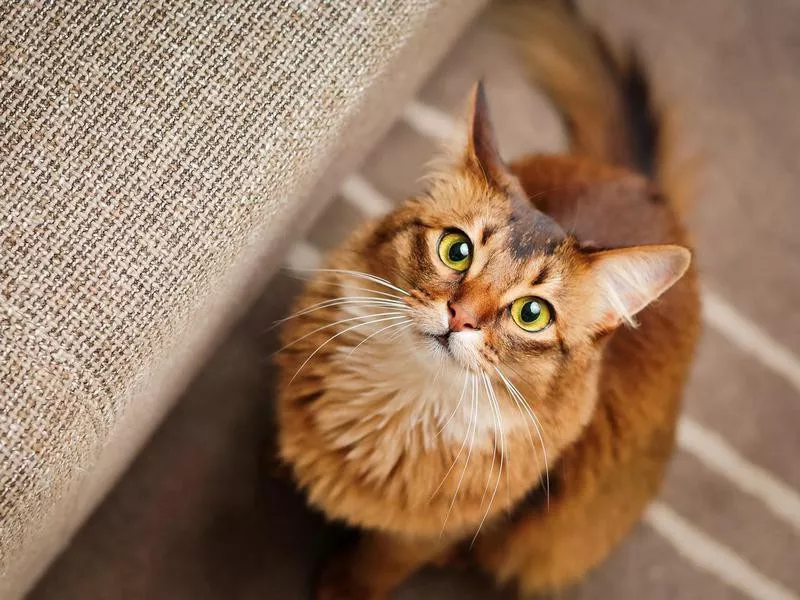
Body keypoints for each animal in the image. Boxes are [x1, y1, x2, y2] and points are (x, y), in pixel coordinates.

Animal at [276, 2, 700, 596]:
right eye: (457, 251)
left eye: (532, 313)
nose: (460, 317)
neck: (406, 407)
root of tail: (644, 185)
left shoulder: (457, 524)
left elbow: (388, 557)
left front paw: (344, 585)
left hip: (558, 538)